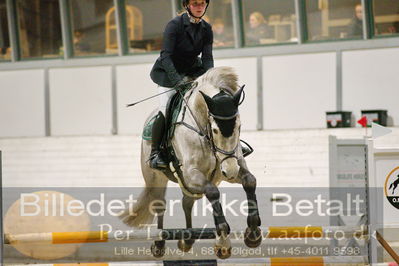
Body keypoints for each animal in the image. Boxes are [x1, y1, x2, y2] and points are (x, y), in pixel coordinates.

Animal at [119, 66, 262, 258]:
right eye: (215, 130)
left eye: (239, 127)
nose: (230, 171)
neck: (203, 129)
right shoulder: (191, 173)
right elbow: (213, 192)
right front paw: (223, 241)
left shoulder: (231, 164)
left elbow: (249, 181)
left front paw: (253, 233)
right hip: (156, 177)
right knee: (159, 204)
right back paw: (159, 243)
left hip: (193, 183)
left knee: (187, 202)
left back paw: (187, 239)